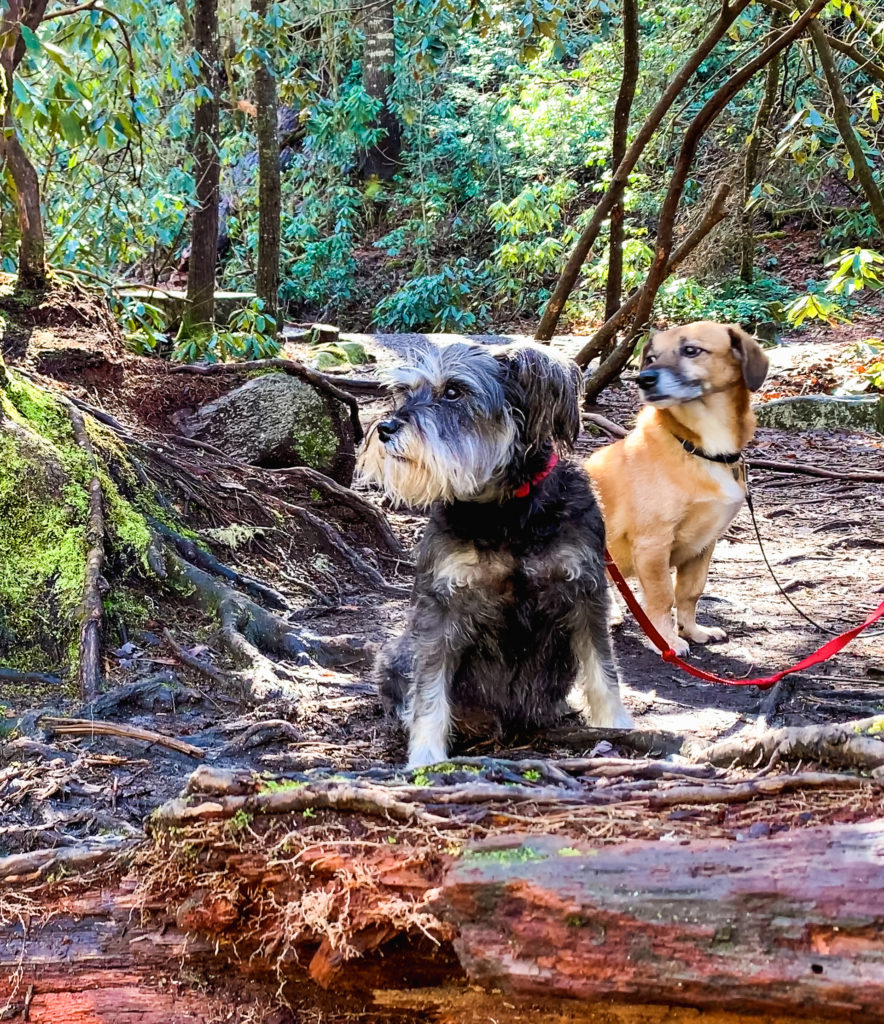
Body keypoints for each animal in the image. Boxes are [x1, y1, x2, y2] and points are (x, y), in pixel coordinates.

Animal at [356, 339, 630, 765]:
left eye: (454, 391)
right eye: (405, 391)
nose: (384, 429)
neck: (506, 509)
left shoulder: (586, 594)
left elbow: (603, 670)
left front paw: (616, 726)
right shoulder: (440, 607)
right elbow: (429, 689)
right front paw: (426, 755)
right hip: (396, 652)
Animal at [585, 319, 766, 655]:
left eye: (691, 350)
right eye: (651, 357)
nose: (643, 380)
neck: (697, 448)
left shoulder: (704, 545)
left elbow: (689, 593)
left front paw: (692, 630)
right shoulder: (653, 545)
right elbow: (661, 597)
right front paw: (666, 640)